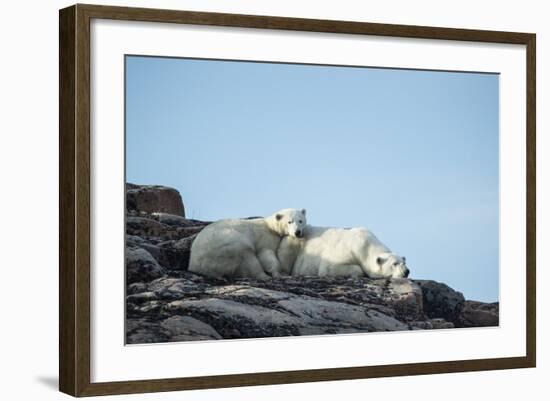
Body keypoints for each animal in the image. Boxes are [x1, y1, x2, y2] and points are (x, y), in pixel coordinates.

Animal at [278, 225, 412, 278]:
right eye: (394, 264)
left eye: (404, 263)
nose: (406, 271)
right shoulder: (346, 250)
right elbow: (329, 267)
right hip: (295, 240)